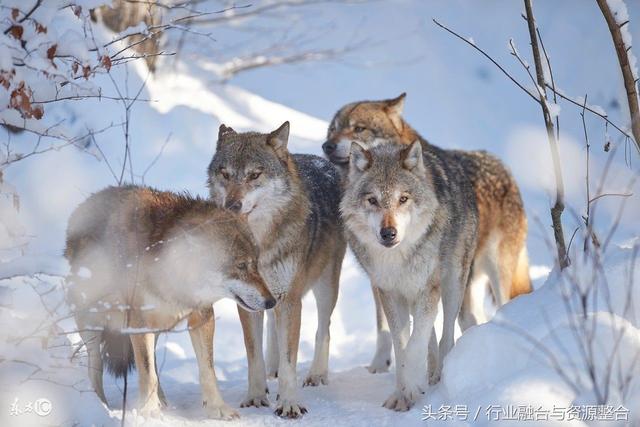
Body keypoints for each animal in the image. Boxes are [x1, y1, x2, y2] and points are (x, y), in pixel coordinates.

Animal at [65, 186, 276, 422]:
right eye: (240, 266)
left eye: (256, 264)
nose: (272, 301)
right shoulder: (138, 321)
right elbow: (147, 372)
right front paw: (148, 412)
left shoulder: (202, 316)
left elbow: (207, 370)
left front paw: (217, 408)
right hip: (92, 322)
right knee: (96, 364)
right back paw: (99, 404)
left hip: (157, 325)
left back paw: (163, 402)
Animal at [209, 121, 348, 418]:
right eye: (225, 174)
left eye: (254, 175)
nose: (232, 206)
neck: (259, 244)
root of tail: (321, 160)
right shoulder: (248, 301)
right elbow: (254, 356)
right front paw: (255, 396)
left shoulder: (291, 300)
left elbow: (289, 360)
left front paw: (289, 403)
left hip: (325, 286)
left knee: (324, 328)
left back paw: (317, 374)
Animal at [322, 94, 532, 374]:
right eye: (333, 129)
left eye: (358, 128)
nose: (326, 146)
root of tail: (501, 165)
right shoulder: (382, 281)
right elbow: (388, 328)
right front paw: (382, 365)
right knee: (470, 320)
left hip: (491, 274)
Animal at [342, 140, 478, 412]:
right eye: (372, 200)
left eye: (403, 199)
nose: (388, 233)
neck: (397, 258)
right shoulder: (390, 294)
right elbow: (403, 346)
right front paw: (402, 393)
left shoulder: (428, 288)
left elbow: (415, 345)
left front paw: (413, 387)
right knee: (431, 337)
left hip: (452, 284)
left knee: (446, 333)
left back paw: (440, 374)